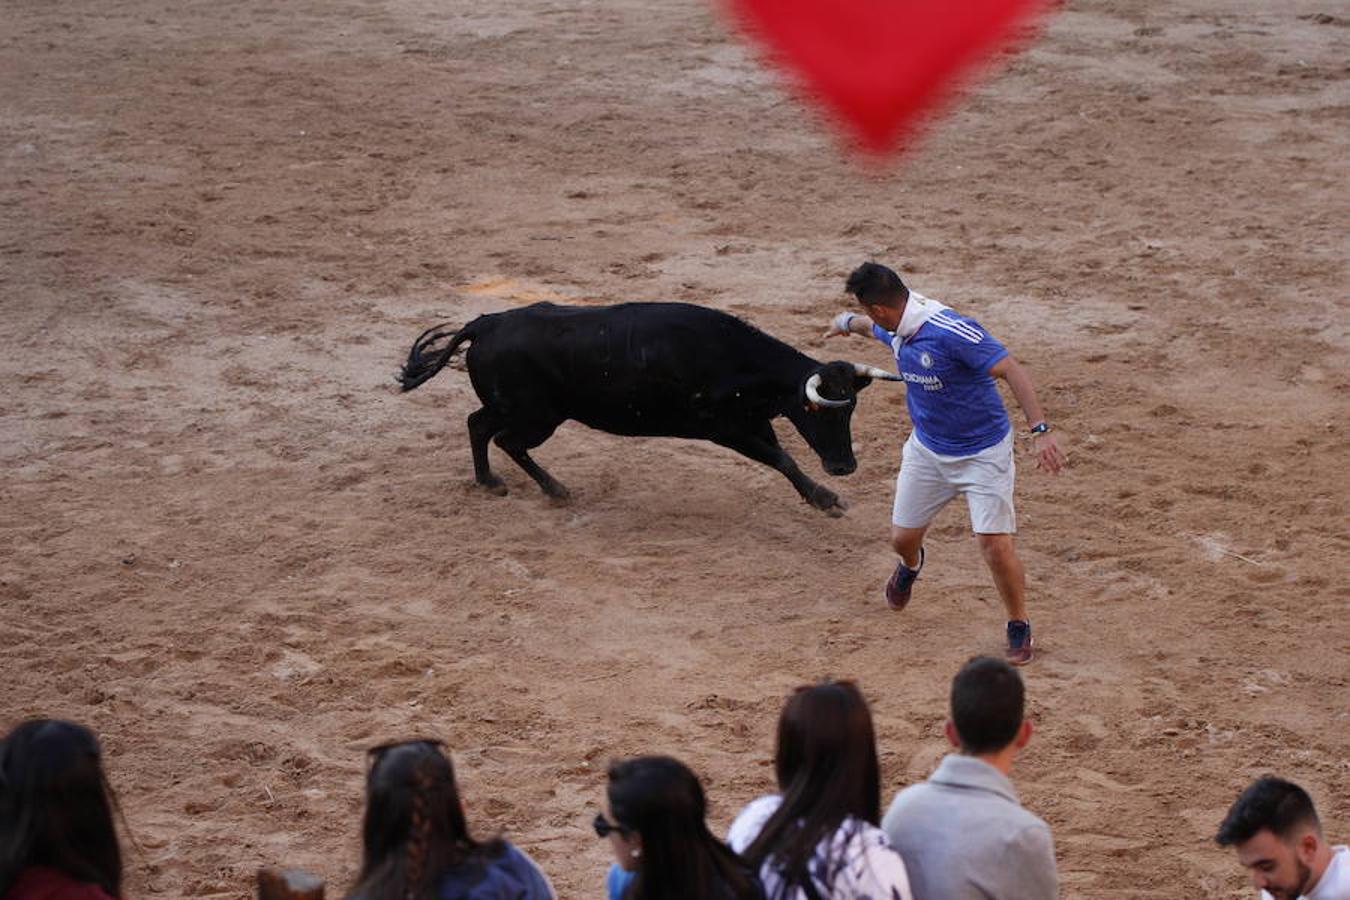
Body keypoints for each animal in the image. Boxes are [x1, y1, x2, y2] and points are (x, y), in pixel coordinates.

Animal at [399, 302, 907, 512]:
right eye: (821, 411)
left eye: (851, 409)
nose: (844, 467)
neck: (733, 359)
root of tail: (484, 324)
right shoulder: (725, 428)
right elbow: (781, 458)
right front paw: (825, 499)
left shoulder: (751, 421)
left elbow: (782, 458)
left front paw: (824, 496)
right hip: (536, 416)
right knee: (504, 438)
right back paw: (554, 489)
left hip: (519, 410)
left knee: (478, 425)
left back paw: (490, 481)